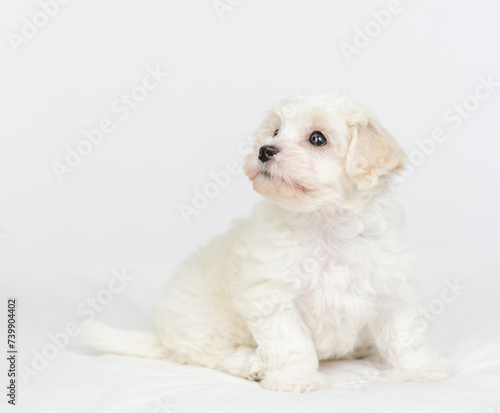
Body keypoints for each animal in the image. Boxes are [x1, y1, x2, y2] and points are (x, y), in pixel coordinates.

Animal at [81, 93, 450, 392]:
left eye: (318, 138)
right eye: (274, 132)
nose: (264, 150)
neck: (324, 223)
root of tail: (162, 335)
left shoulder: (394, 287)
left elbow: (405, 335)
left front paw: (419, 371)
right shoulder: (272, 298)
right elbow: (292, 343)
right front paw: (296, 380)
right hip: (204, 328)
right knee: (217, 355)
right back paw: (254, 364)